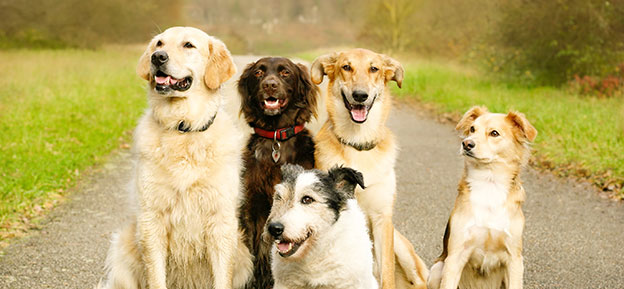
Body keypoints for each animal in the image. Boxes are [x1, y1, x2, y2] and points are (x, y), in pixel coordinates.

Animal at [96, 27, 252, 288]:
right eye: (159, 43)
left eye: (188, 45)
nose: (157, 57)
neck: (183, 128)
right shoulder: (151, 220)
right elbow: (156, 277)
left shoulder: (220, 221)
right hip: (122, 248)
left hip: (243, 255)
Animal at [308, 48, 426, 286]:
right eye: (346, 67)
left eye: (374, 68)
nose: (360, 95)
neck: (358, 143)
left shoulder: (382, 219)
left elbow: (386, 274)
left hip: (400, 243)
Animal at [428, 106, 536, 288]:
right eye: (472, 129)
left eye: (494, 133)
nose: (466, 143)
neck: (489, 184)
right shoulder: (455, 256)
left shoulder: (514, 259)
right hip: (438, 267)